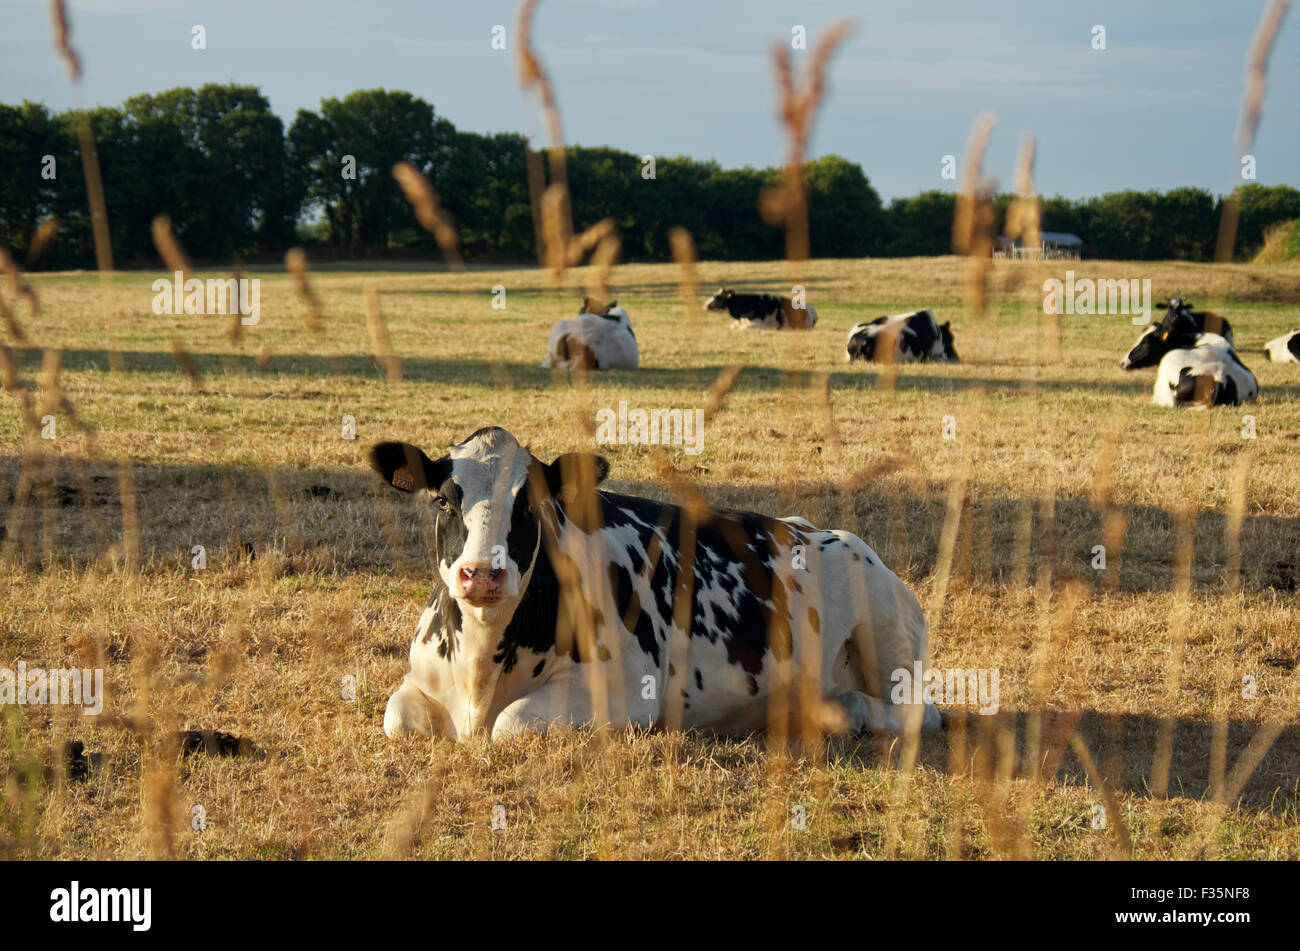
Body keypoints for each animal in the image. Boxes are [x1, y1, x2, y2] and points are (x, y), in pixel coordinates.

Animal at [371, 426, 941, 743]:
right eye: (442, 500)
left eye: (529, 505)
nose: (482, 574)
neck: (480, 668)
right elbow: (396, 717)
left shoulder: (627, 692)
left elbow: (510, 724)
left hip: (887, 633)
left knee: (919, 713)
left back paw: (849, 712)